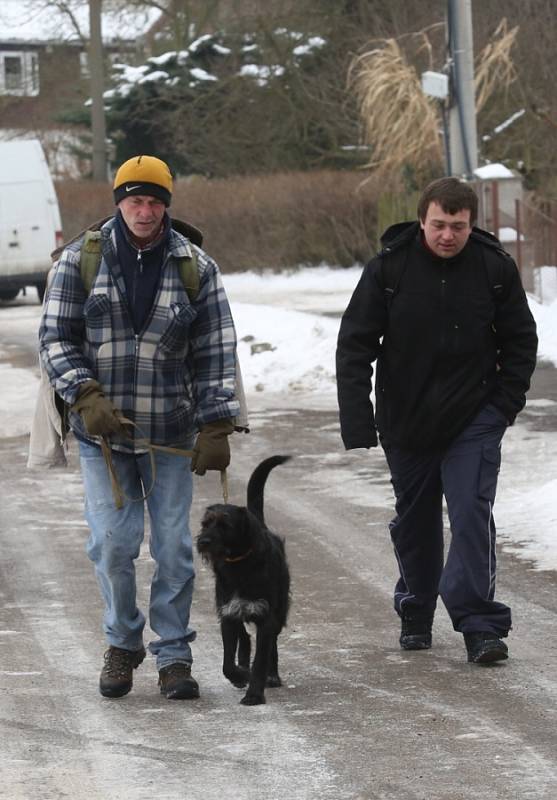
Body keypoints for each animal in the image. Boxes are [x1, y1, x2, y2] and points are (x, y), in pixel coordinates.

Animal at [197, 456, 292, 708]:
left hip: (279, 611)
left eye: (225, 525)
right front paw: (240, 675)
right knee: (245, 638)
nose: (203, 541)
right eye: (205, 523)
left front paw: (254, 694)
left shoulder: (266, 617)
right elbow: (227, 664)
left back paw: (272, 675)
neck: (239, 564)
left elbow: (260, 660)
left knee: (272, 646)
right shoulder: (227, 614)